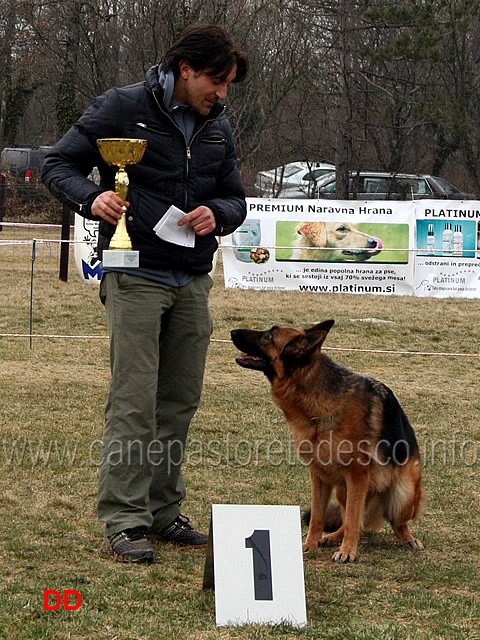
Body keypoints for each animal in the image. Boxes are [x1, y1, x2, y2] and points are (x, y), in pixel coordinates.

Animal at [232, 322, 424, 564]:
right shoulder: (319, 474)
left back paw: (409, 539)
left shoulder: (357, 474)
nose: (232, 332)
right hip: (343, 489)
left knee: (391, 522)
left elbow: (352, 518)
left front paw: (348, 551)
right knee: (355, 519)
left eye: (269, 335)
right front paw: (310, 544)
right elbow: (319, 516)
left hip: (403, 493)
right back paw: (332, 537)